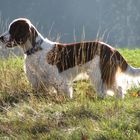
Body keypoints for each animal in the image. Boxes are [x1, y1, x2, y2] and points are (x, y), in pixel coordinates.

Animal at [0, 17, 140, 98]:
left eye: (12, 29)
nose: (1, 37)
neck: (35, 49)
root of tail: (112, 49)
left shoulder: (59, 80)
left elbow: (65, 93)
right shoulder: (39, 81)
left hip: (99, 74)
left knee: (117, 89)